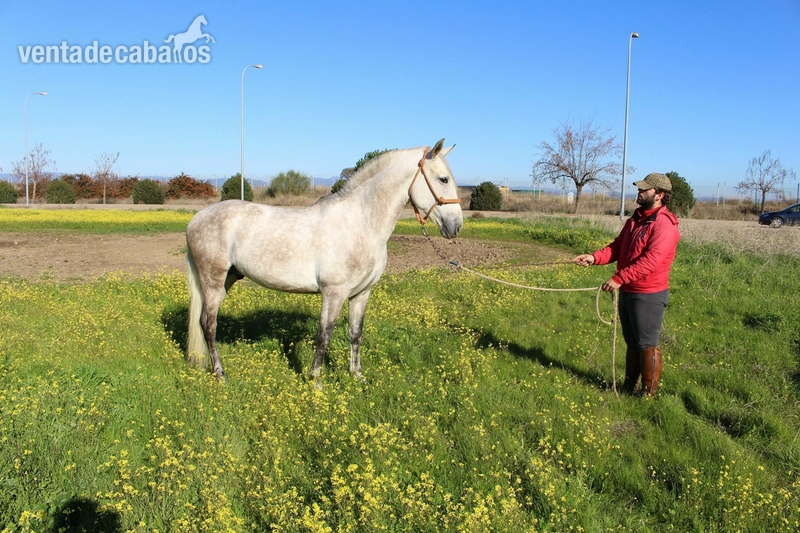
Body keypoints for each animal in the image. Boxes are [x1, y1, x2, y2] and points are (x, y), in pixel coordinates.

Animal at [185, 139, 463, 382]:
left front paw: (357, 376)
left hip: (227, 280)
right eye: (443, 179)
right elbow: (324, 336)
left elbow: (355, 334)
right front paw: (316, 381)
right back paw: (220, 373)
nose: (456, 226)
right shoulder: (333, 293)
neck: (360, 222)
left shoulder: (361, 294)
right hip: (213, 281)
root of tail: (196, 219)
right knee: (208, 324)